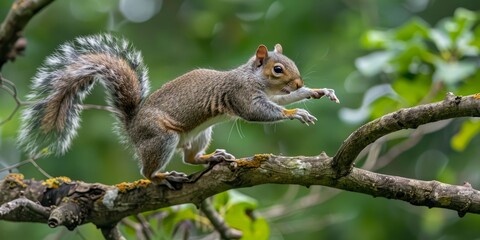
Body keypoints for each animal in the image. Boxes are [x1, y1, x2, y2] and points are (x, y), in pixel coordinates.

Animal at [18, 33, 340, 188]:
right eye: (277, 69)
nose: (299, 81)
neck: (251, 77)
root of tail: (132, 127)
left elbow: (285, 100)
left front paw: (314, 93)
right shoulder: (242, 95)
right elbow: (260, 112)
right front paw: (294, 114)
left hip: (200, 134)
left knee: (190, 157)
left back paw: (213, 157)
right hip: (162, 138)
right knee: (148, 171)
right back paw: (162, 176)